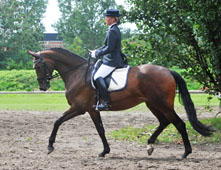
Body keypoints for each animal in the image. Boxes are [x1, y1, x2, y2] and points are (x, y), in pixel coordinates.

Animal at [28, 48, 213, 159]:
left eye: (38, 67)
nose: (43, 87)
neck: (77, 73)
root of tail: (168, 70)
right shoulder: (92, 110)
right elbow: (100, 130)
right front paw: (105, 151)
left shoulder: (79, 108)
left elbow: (57, 121)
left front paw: (50, 146)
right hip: (152, 104)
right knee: (164, 122)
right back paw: (150, 145)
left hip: (163, 104)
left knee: (179, 123)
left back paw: (185, 153)